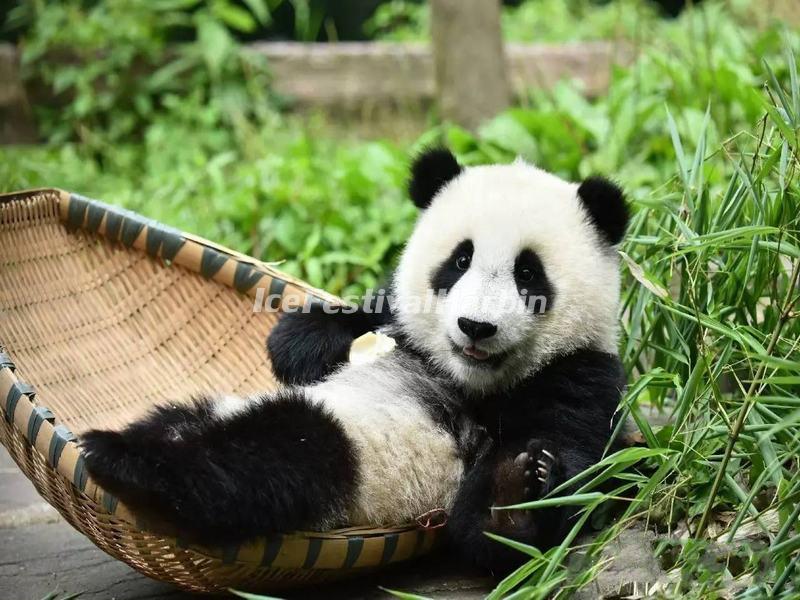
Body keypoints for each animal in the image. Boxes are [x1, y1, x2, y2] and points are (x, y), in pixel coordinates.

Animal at [83, 149, 632, 572]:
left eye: (528, 274)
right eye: (460, 260)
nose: (476, 327)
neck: (468, 379)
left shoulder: (580, 374)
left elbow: (528, 497)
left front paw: (516, 490)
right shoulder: (395, 320)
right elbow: (327, 332)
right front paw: (314, 340)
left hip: (350, 455)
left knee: (262, 460)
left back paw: (122, 460)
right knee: (191, 424)